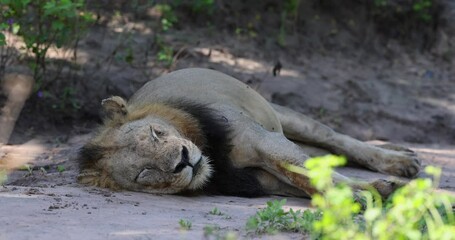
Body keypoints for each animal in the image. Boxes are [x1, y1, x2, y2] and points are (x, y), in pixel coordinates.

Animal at [78, 68, 424, 199]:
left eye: (156, 133)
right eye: (144, 173)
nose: (183, 161)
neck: (212, 156)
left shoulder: (264, 141)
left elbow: (305, 171)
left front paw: (378, 189)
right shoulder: (259, 181)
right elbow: (308, 180)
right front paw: (376, 191)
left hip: (285, 117)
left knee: (335, 139)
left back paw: (402, 160)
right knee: (325, 153)